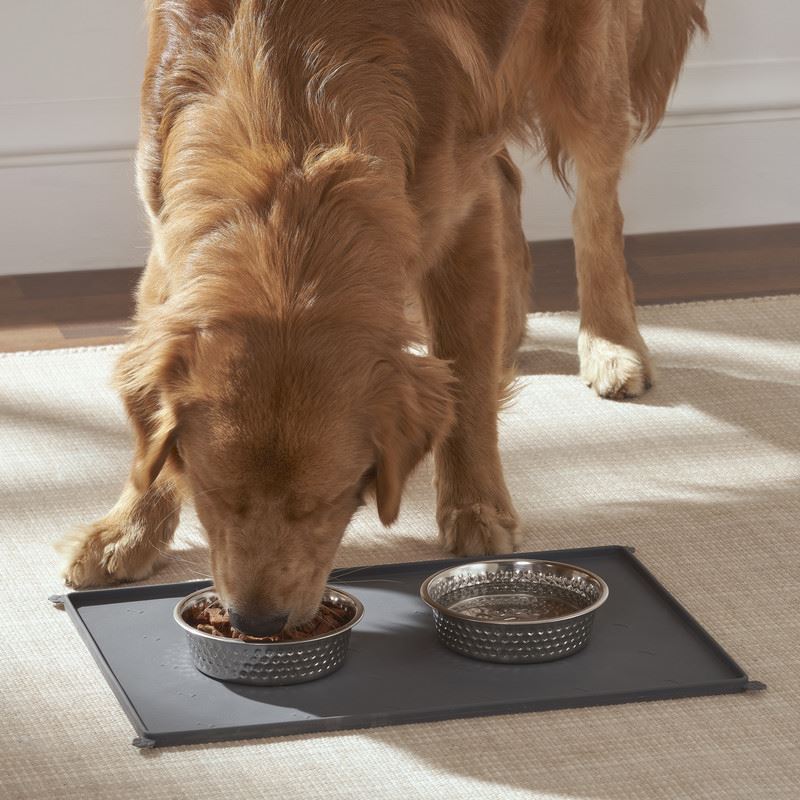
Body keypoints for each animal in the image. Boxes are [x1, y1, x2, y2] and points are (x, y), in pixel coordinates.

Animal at [61, 1, 708, 636]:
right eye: (214, 495)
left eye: (327, 502)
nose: (256, 621)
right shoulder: (167, 234)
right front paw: (129, 528)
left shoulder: (459, 215)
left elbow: (467, 388)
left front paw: (477, 506)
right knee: (508, 180)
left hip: (584, 71)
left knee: (597, 205)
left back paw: (611, 344)